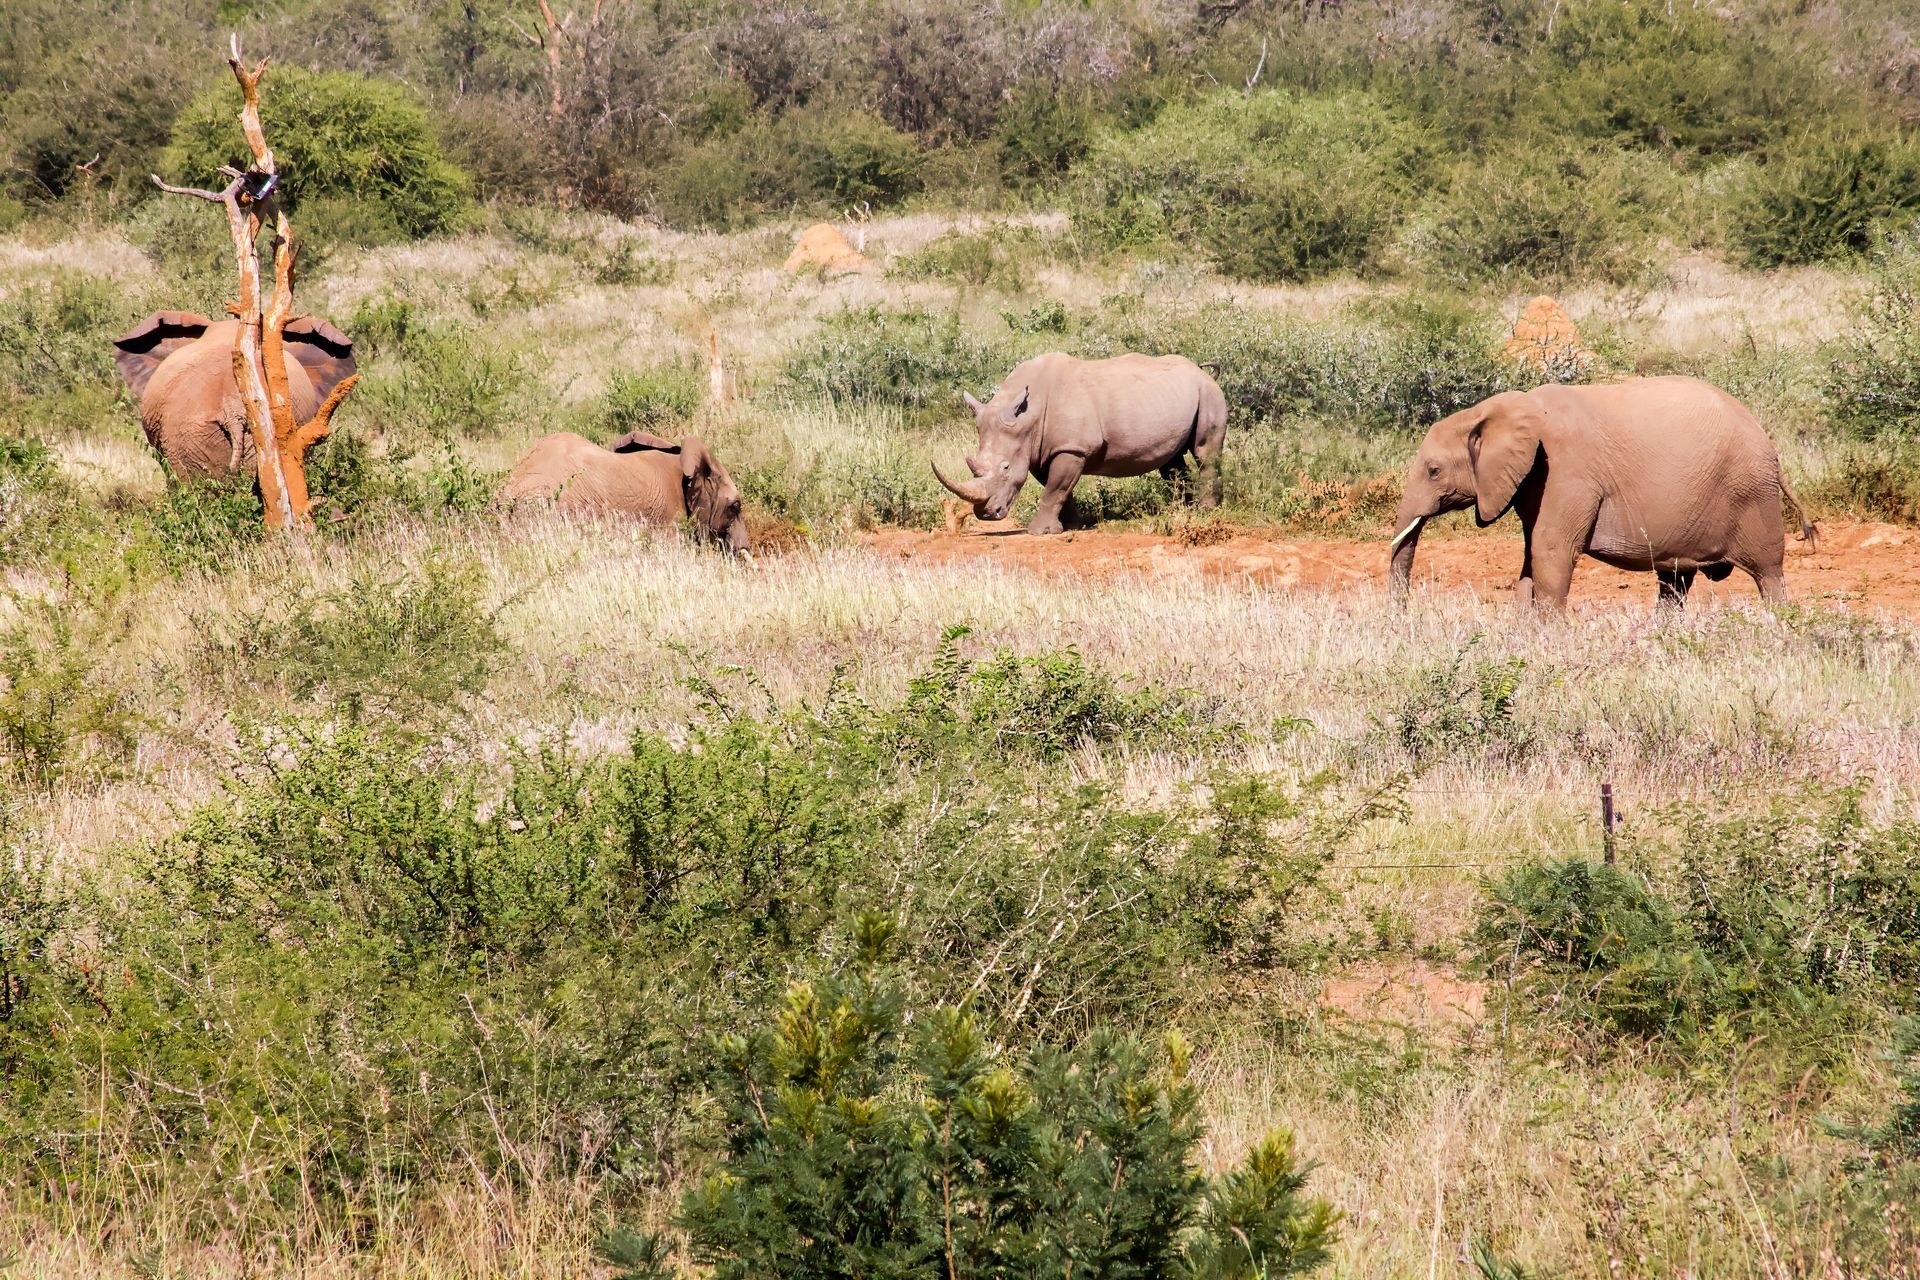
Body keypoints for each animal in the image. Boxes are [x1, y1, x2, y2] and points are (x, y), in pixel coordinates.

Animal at [933, 351, 1228, 537]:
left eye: (1006, 468)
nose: (985, 513)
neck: (1027, 416)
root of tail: (1203, 373)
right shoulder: (1042, 449)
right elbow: (1058, 488)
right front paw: (1071, 526)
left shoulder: (1072, 447)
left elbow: (1055, 488)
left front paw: (1039, 532)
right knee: (1171, 462)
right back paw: (1182, 510)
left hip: (1208, 393)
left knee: (1205, 453)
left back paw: (1205, 510)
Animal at [1382, 376, 1812, 610]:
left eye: (1434, 471)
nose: (1402, 617)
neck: (1503, 408)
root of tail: (1768, 444)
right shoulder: (1535, 481)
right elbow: (1531, 559)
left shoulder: (1568, 473)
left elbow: (1551, 553)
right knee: (1674, 582)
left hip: (1753, 495)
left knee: (1768, 575)